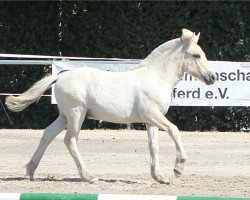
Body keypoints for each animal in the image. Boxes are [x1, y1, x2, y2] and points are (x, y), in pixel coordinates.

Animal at [5, 28, 215, 184]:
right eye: (196, 55)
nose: (212, 77)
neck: (155, 77)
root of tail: (60, 76)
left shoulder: (151, 120)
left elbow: (153, 146)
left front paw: (160, 177)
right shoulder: (151, 114)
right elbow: (174, 130)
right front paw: (178, 168)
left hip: (64, 116)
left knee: (47, 135)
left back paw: (30, 172)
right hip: (76, 114)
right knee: (70, 140)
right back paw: (88, 176)